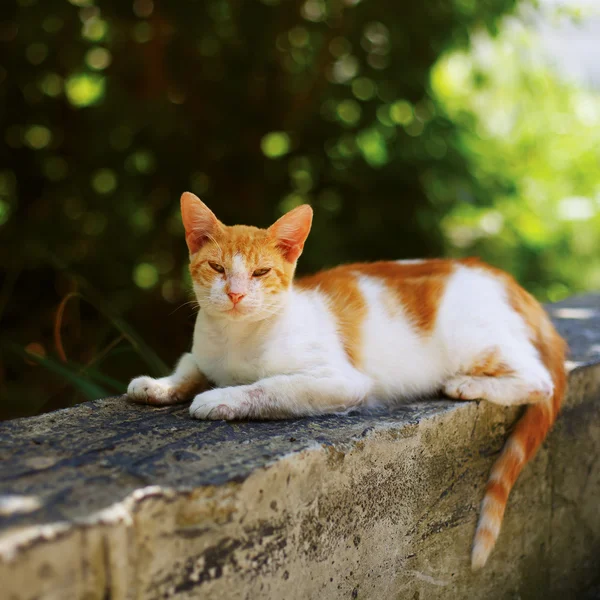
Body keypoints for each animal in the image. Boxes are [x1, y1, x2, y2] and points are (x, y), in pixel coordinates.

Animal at [127, 191, 568, 568]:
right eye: (217, 268)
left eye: (260, 272)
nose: (235, 295)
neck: (237, 339)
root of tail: (503, 279)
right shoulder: (203, 353)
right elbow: (189, 365)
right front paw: (159, 385)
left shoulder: (341, 380)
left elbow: (272, 386)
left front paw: (222, 398)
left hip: (471, 339)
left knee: (539, 379)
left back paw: (468, 384)